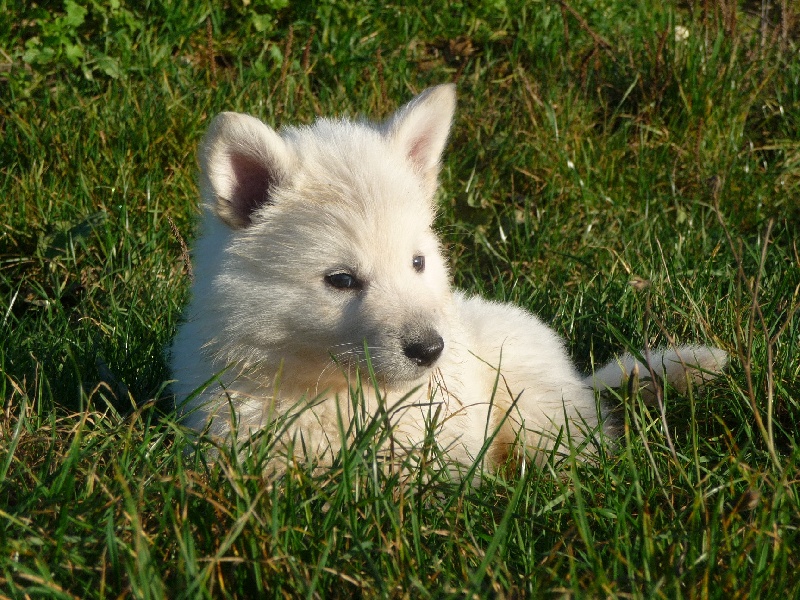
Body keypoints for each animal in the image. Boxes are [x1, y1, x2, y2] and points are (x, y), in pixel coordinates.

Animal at [169, 82, 724, 472]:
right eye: (341, 280)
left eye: (417, 263)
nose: (430, 350)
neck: (338, 394)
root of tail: (578, 380)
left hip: (537, 408)